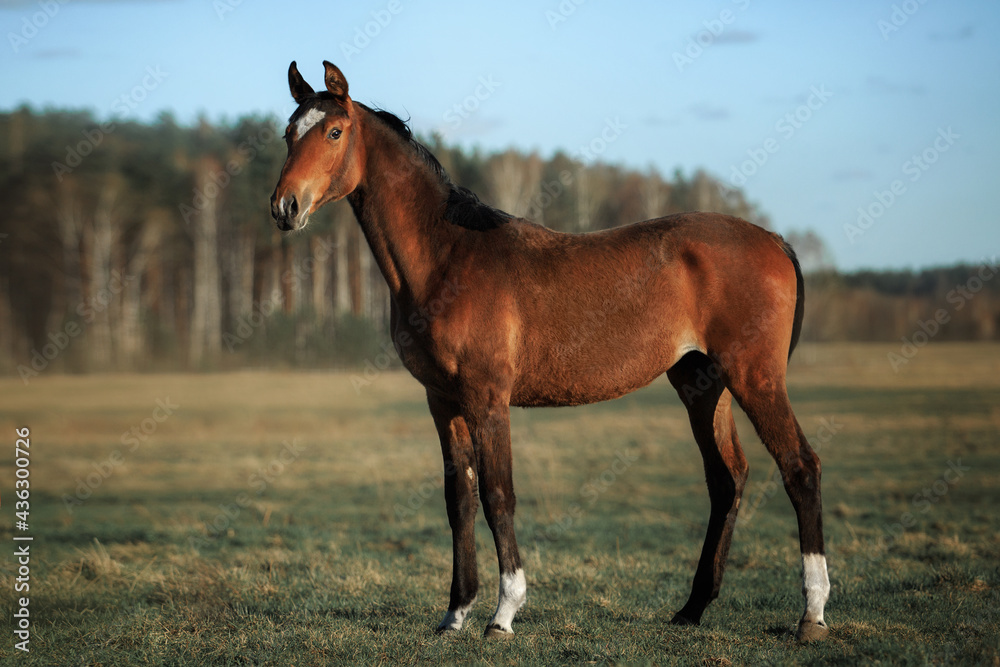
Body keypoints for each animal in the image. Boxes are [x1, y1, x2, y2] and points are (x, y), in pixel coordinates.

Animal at [270, 61, 831, 643]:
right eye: (288, 133)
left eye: (335, 132)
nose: (285, 207)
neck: (448, 258)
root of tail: (773, 239)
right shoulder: (442, 401)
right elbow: (459, 499)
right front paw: (454, 614)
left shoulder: (487, 399)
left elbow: (499, 496)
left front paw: (503, 614)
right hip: (703, 384)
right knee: (727, 480)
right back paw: (692, 608)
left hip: (754, 377)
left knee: (800, 468)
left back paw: (811, 614)